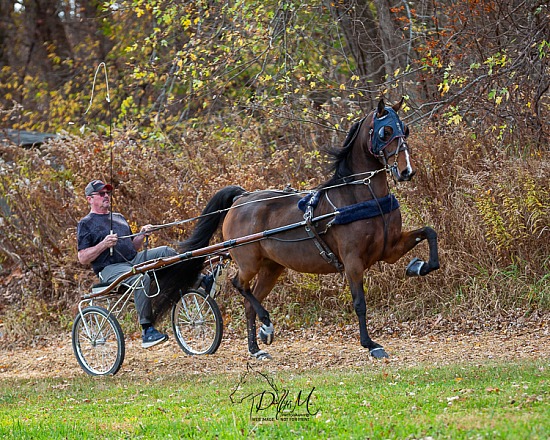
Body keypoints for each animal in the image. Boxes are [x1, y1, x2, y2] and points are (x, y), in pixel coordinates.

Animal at [154, 98, 440, 360]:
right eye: (385, 132)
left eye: (405, 129)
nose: (405, 171)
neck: (362, 196)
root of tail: (241, 198)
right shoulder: (352, 261)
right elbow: (359, 303)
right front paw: (370, 344)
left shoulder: (389, 249)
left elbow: (429, 233)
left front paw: (419, 266)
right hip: (248, 261)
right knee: (239, 285)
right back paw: (266, 324)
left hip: (272, 267)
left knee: (249, 301)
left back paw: (256, 347)